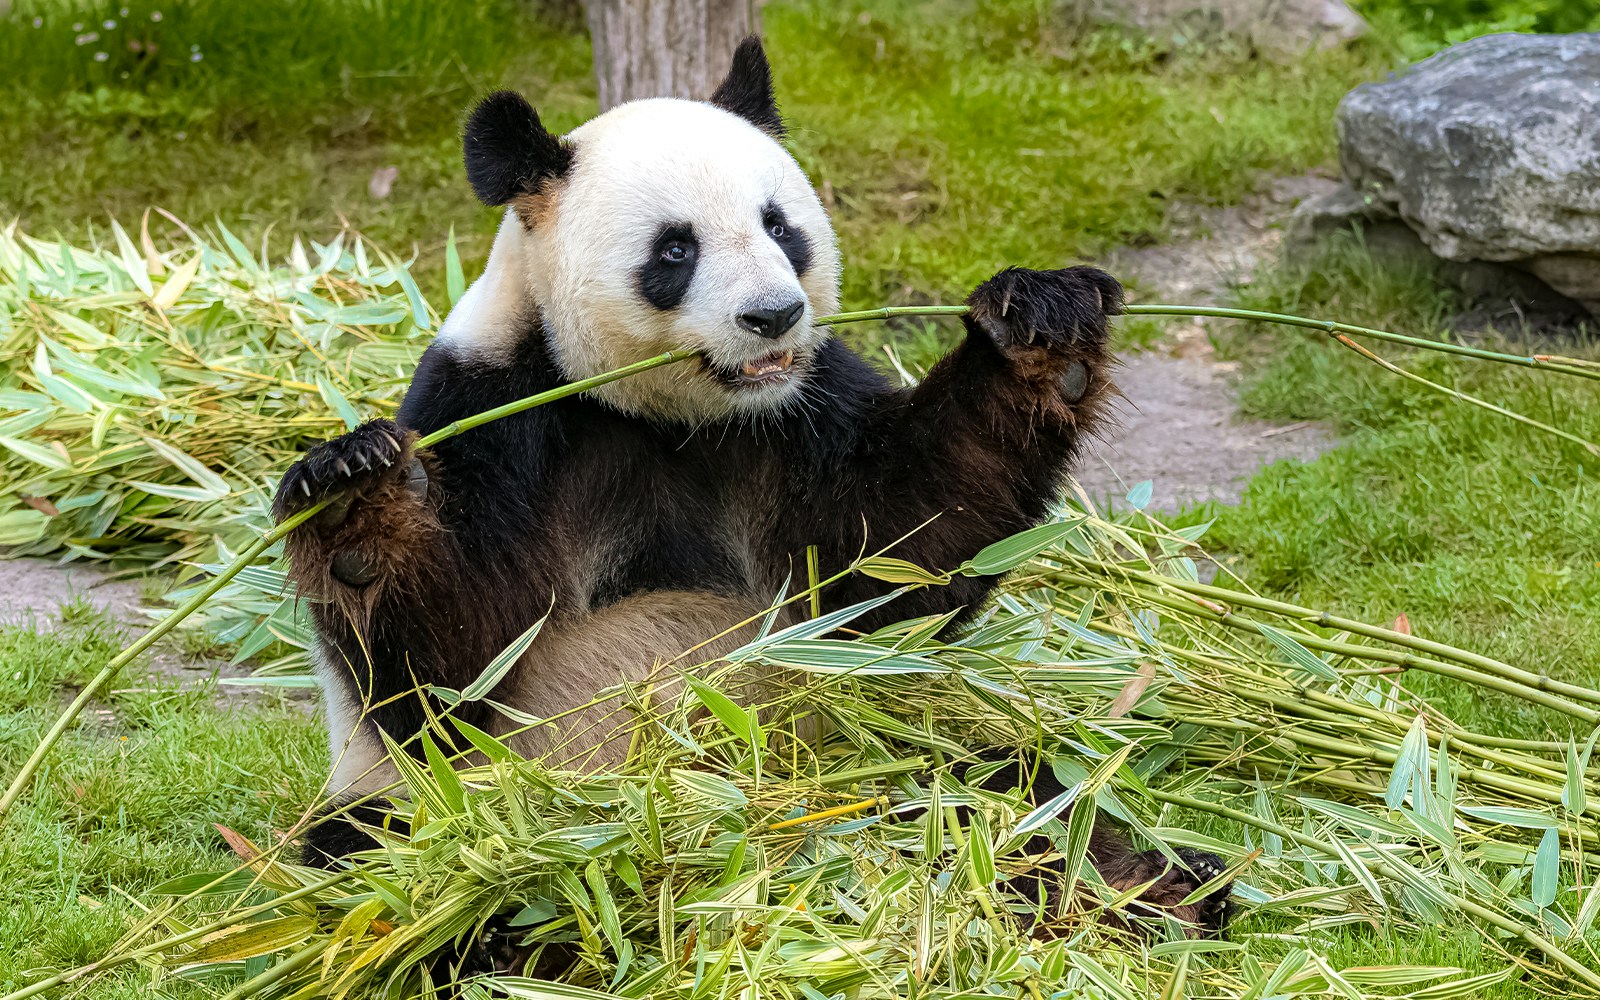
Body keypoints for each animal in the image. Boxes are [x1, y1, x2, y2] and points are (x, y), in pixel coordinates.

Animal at [273, 36, 1231, 942]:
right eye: (675, 248)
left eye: (780, 226)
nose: (773, 316)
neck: (664, 414)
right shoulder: (496, 412)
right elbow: (447, 674)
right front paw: (353, 501)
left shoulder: (795, 419)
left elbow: (896, 548)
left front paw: (1042, 329)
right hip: (411, 809)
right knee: (381, 864)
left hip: (870, 745)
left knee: (1010, 787)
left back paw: (1157, 887)